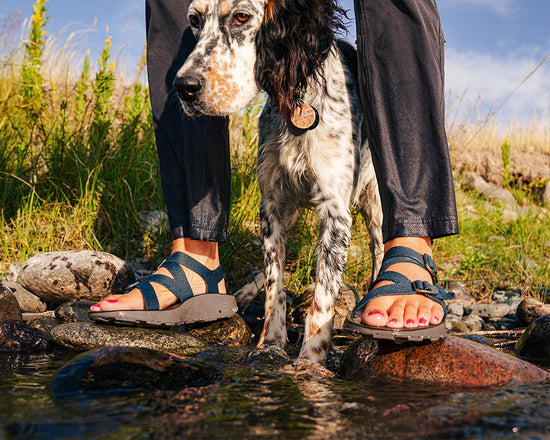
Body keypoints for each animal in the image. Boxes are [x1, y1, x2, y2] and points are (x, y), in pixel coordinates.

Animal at [176, 0, 384, 364]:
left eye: (241, 17)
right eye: (194, 20)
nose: (183, 86)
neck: (295, 102)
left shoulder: (335, 211)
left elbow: (323, 297)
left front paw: (310, 361)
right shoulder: (271, 203)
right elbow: (276, 282)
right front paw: (270, 343)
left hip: (374, 201)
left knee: (379, 245)